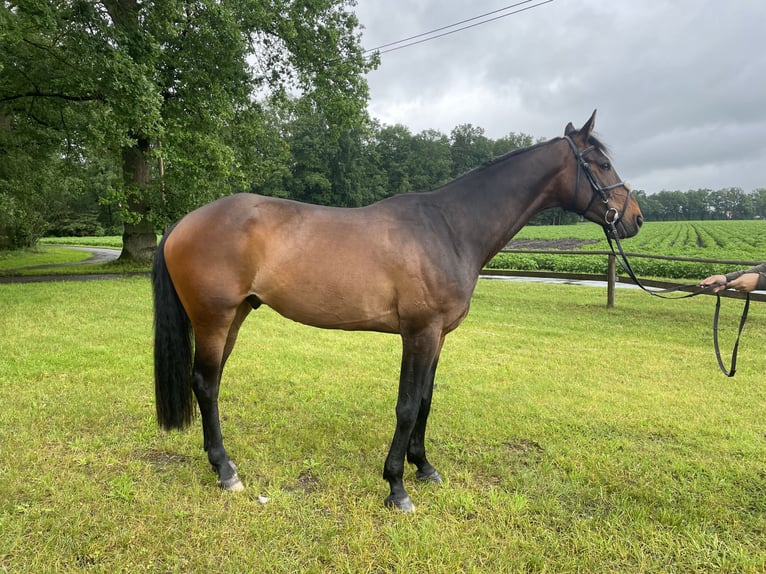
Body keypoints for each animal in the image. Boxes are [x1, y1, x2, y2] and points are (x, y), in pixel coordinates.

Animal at [153, 111, 644, 512]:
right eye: (601, 164)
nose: (635, 218)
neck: (448, 228)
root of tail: (182, 222)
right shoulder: (419, 332)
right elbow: (407, 406)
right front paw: (396, 487)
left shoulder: (438, 335)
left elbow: (425, 399)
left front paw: (424, 467)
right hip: (215, 319)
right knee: (206, 385)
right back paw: (226, 471)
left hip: (235, 316)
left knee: (211, 383)